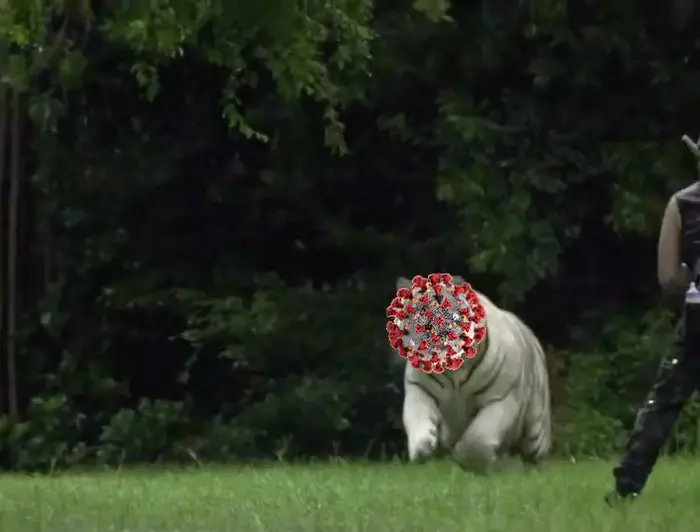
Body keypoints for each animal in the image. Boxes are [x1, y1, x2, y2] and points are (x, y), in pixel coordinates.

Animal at [396, 276, 551, 473]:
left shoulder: (502, 398)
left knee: (535, 454)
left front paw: (464, 457)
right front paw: (423, 449)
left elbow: (479, 438)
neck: (452, 370)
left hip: (536, 428)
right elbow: (417, 417)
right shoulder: (420, 388)